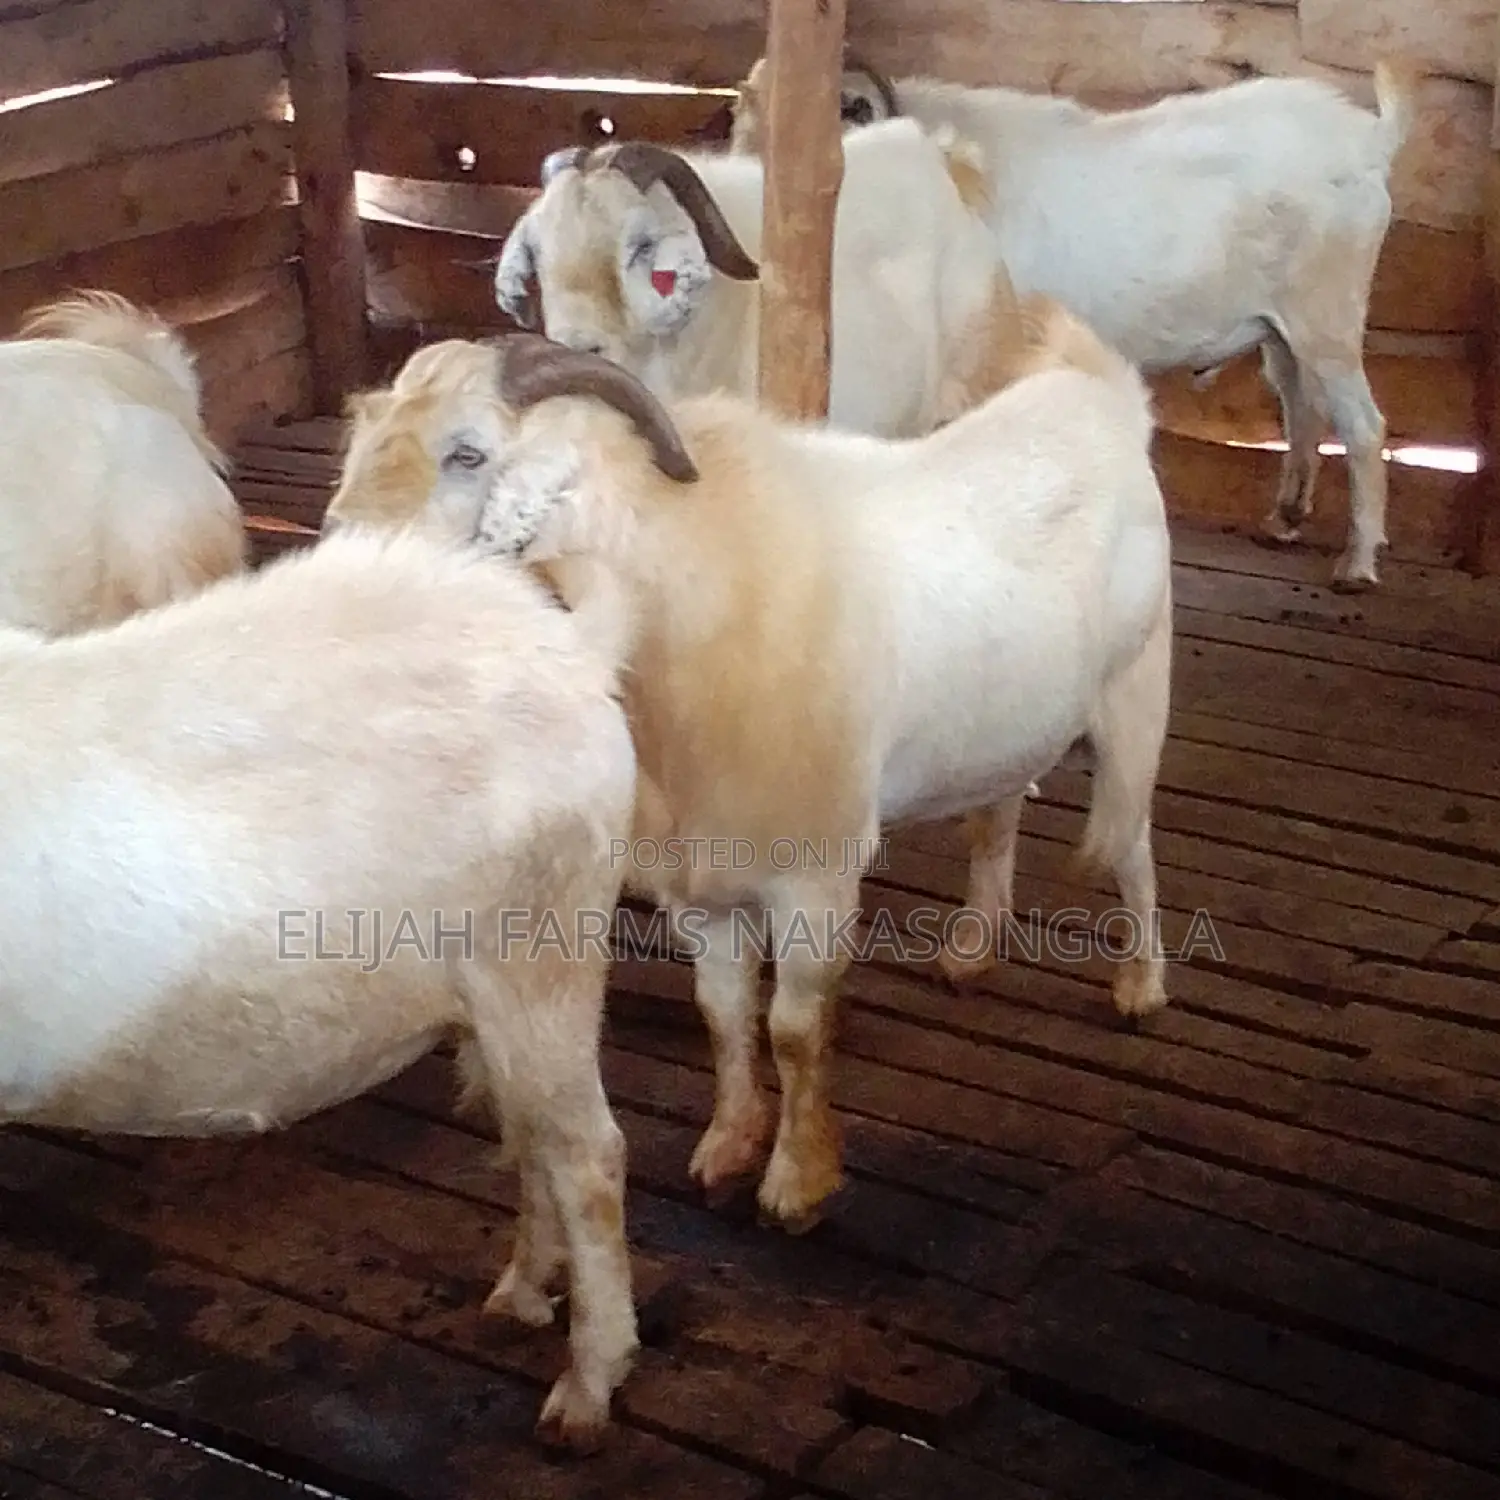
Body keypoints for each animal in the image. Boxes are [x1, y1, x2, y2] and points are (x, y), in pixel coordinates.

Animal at [0, 526, 640, 1451]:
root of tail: (568, 646)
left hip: (543, 954)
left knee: (588, 1155)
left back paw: (586, 1391)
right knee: (534, 1140)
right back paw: (521, 1292)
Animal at [320, 311, 1174, 1235]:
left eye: (468, 452)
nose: (342, 561)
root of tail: (1101, 392)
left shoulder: (817, 872)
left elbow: (794, 1029)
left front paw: (796, 1181)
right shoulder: (703, 879)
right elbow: (722, 1013)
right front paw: (729, 1143)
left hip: (1136, 694)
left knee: (1134, 847)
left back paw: (1142, 983)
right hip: (1011, 717)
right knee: (998, 810)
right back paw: (974, 947)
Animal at [733, 54, 1421, 589]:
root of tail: (1371, 139)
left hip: (1327, 315)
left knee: (1363, 426)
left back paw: (1358, 565)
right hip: (1283, 330)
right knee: (1302, 407)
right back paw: (1286, 519)